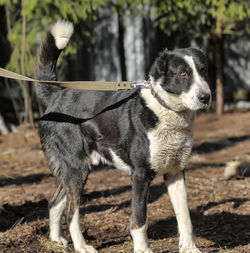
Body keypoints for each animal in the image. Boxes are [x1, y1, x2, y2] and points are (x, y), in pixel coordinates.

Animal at [35, 20, 211, 252]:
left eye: (203, 70)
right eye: (183, 74)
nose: (206, 97)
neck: (165, 110)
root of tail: (55, 95)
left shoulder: (175, 171)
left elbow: (185, 216)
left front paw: (189, 247)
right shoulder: (140, 175)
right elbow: (139, 219)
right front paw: (142, 249)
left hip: (77, 170)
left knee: (54, 202)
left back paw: (56, 240)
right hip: (76, 170)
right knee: (71, 213)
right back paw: (82, 246)